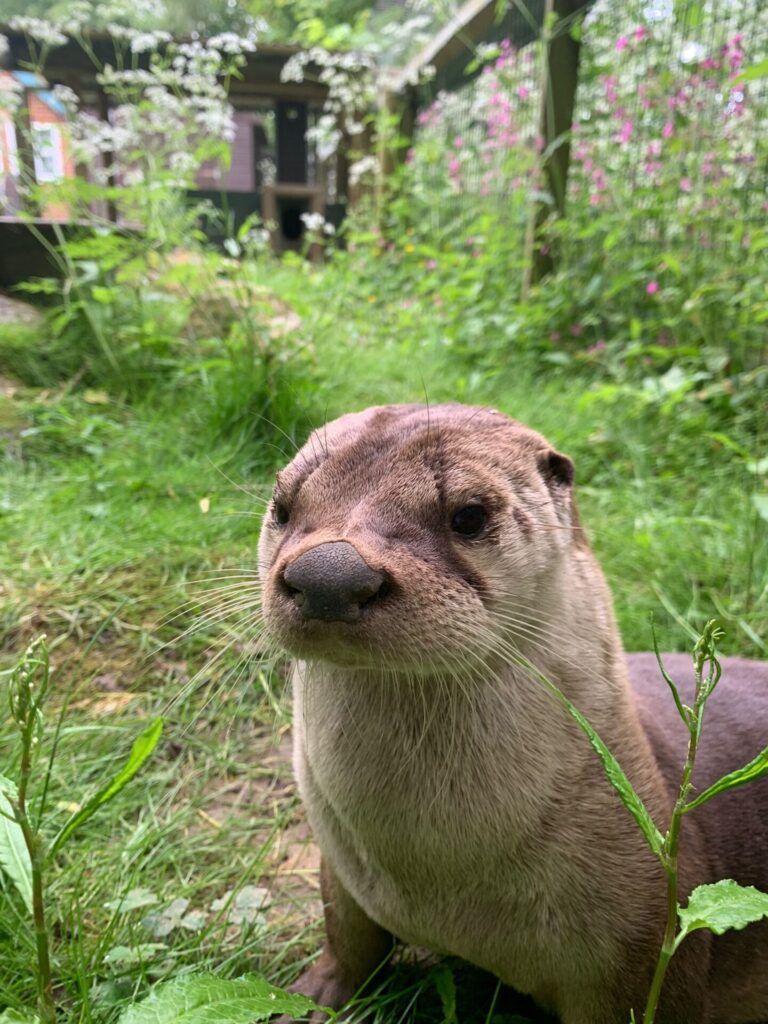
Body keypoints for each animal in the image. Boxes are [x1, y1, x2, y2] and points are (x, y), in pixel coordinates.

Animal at [257, 404, 768, 1024]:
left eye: (469, 515)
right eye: (283, 507)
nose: (328, 574)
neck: (437, 877)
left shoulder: (648, 944)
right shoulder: (339, 865)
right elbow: (346, 938)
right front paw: (312, 997)